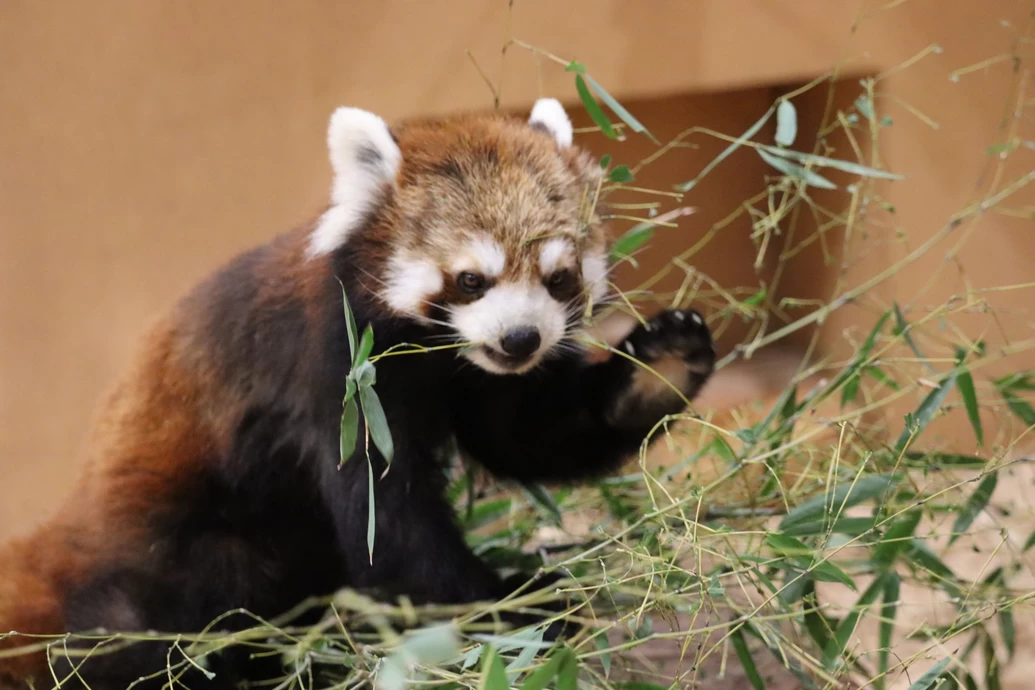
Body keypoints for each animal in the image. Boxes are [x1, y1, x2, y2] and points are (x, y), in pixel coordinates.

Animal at [0, 98, 716, 690]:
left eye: (558, 277)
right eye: (471, 281)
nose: (521, 339)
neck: (435, 357)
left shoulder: (477, 376)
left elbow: (527, 434)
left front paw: (657, 367)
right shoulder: (338, 377)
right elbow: (390, 525)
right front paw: (515, 608)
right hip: (182, 547)